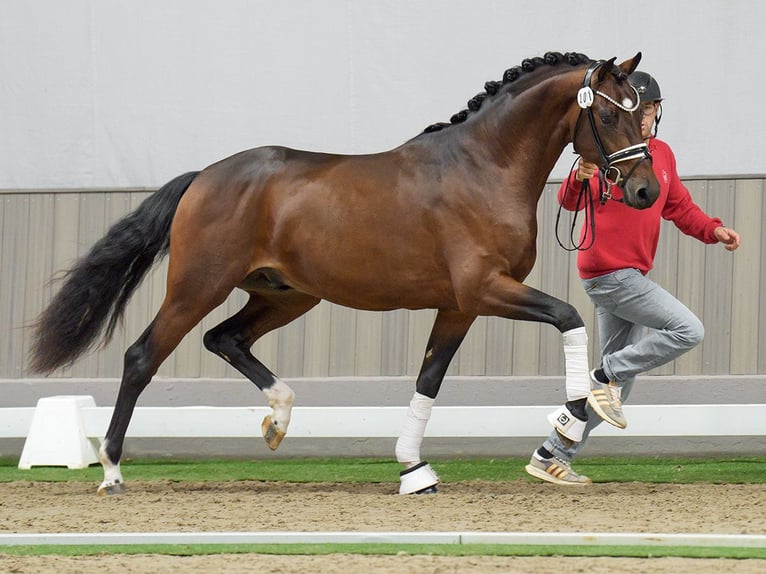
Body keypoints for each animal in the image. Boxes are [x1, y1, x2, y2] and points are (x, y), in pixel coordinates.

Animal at [31, 51, 660, 498]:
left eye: (641, 116)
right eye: (608, 114)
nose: (645, 191)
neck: (483, 166)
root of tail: (204, 176)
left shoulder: (459, 305)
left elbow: (428, 380)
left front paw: (414, 470)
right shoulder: (485, 289)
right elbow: (569, 316)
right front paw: (575, 417)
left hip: (287, 296)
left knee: (224, 338)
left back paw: (278, 419)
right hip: (197, 287)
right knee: (144, 355)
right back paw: (111, 470)